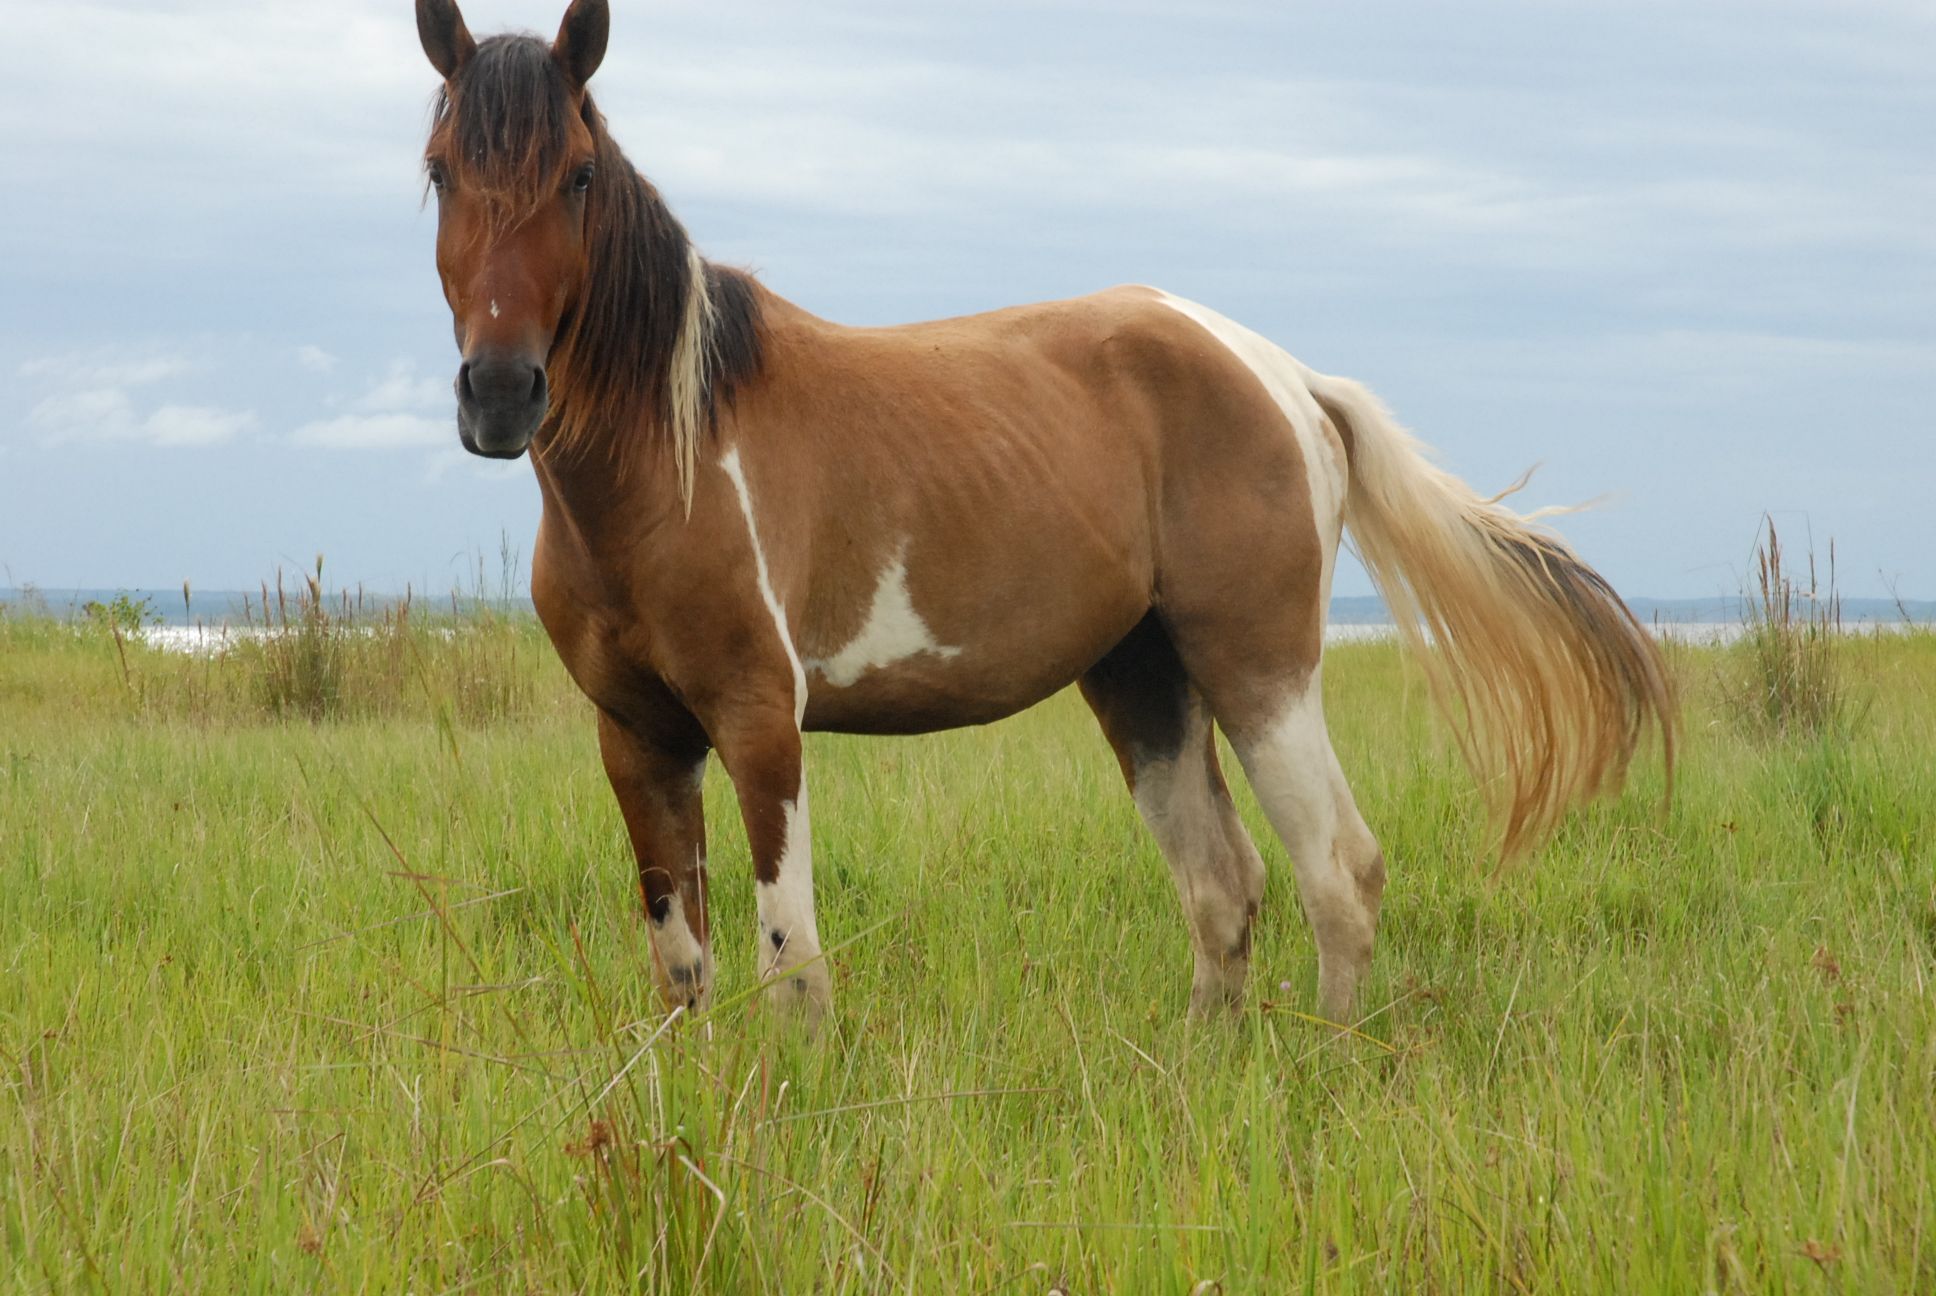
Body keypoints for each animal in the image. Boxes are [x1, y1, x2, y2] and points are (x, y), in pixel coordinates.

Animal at [416, 2, 1672, 1030]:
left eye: (579, 174)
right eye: (438, 172)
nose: (500, 393)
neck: (671, 458)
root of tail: (1285, 376)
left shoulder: (760, 720)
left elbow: (791, 962)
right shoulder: (637, 737)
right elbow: (683, 966)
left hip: (1257, 666)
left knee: (1338, 874)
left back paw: (1332, 1067)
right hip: (1145, 678)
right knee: (1222, 888)